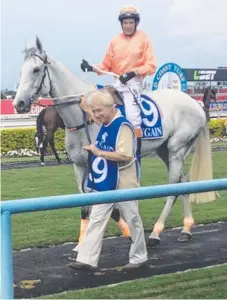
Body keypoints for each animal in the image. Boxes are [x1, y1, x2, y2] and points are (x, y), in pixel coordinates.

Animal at [13, 36, 217, 246]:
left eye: (36, 69)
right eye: (21, 70)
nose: (19, 103)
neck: (84, 115)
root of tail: (196, 103)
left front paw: (128, 231)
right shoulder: (79, 165)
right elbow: (85, 204)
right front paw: (82, 245)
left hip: (177, 148)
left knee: (173, 187)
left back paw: (156, 233)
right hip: (164, 150)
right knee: (184, 183)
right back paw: (186, 229)